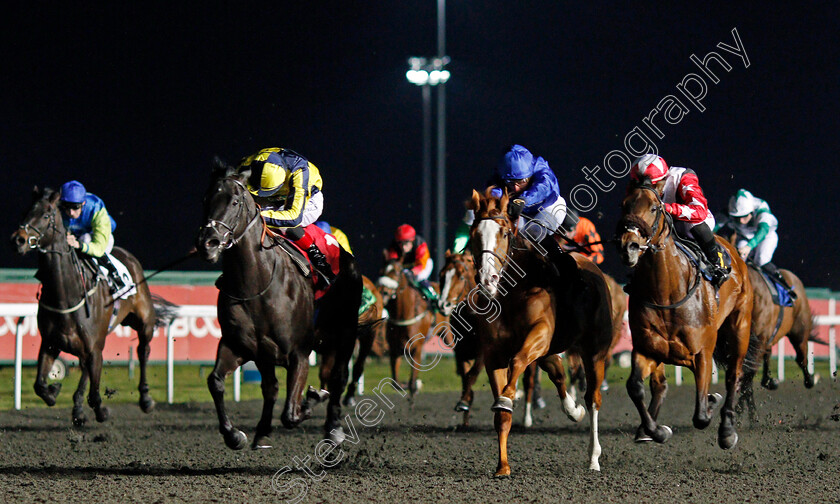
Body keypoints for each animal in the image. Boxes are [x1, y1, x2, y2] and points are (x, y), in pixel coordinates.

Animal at [11, 185, 176, 426]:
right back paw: (77, 408)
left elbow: (95, 396)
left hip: (143, 321)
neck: (67, 295)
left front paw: (102, 411)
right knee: (85, 370)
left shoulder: (94, 348)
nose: (18, 239)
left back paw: (145, 399)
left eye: (46, 215)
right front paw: (55, 389)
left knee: (143, 350)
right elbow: (40, 386)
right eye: (25, 211)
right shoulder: (50, 343)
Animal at [196, 161, 360, 448]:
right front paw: (234, 434)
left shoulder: (299, 353)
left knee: (338, 378)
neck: (256, 285)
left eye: (235, 201)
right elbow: (216, 381)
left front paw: (314, 398)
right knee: (271, 387)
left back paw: (333, 428)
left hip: (345, 334)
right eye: (206, 200)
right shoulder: (242, 345)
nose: (208, 243)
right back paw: (262, 430)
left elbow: (291, 414)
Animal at [378, 258, 446, 400]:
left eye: (397, 272)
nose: (383, 292)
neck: (404, 313)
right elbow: (396, 383)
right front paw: (413, 385)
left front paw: (415, 387)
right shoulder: (395, 349)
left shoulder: (417, 349)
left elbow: (412, 381)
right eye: (382, 270)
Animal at [466, 187, 612, 474]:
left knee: (593, 398)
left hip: (595, 350)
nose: (488, 280)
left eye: (504, 233)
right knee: (558, 373)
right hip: (553, 352)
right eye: (475, 233)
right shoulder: (493, 353)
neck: (512, 292)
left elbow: (518, 360)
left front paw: (508, 397)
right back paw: (572, 410)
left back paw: (593, 457)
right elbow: (502, 415)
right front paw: (502, 466)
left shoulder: (541, 334)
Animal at [612, 180, 756, 448]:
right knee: (660, 384)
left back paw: (727, 429)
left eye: (655, 208)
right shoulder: (648, 349)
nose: (629, 246)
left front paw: (713, 407)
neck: (666, 294)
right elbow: (635, 386)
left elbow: (700, 416)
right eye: (624, 205)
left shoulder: (702, 353)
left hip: (740, 328)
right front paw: (656, 431)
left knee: (734, 375)